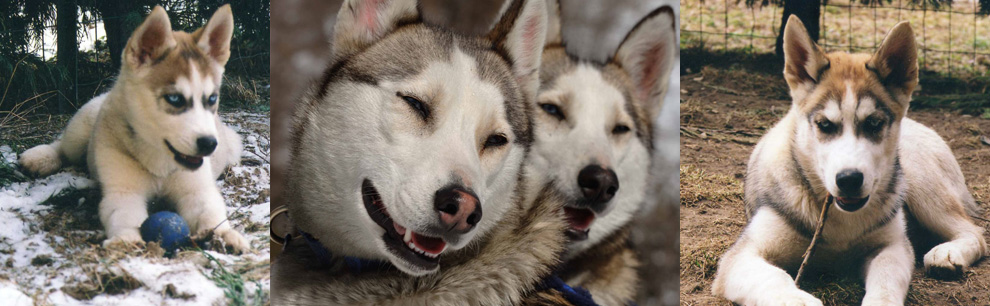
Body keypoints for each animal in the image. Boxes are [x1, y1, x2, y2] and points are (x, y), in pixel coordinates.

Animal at [18, 5, 248, 253]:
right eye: (175, 99)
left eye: (212, 98)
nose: (209, 144)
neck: (159, 160)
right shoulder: (123, 191)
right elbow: (124, 214)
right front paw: (126, 238)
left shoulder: (197, 189)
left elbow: (211, 212)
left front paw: (224, 235)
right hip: (80, 130)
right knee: (62, 146)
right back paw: (39, 158)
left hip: (232, 146)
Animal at [712, 17, 984, 306]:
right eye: (824, 125)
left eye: (874, 124)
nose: (849, 180)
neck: (840, 222)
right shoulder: (740, 256)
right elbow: (773, 277)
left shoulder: (892, 246)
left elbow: (886, 281)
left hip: (920, 183)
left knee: (974, 232)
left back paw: (947, 253)